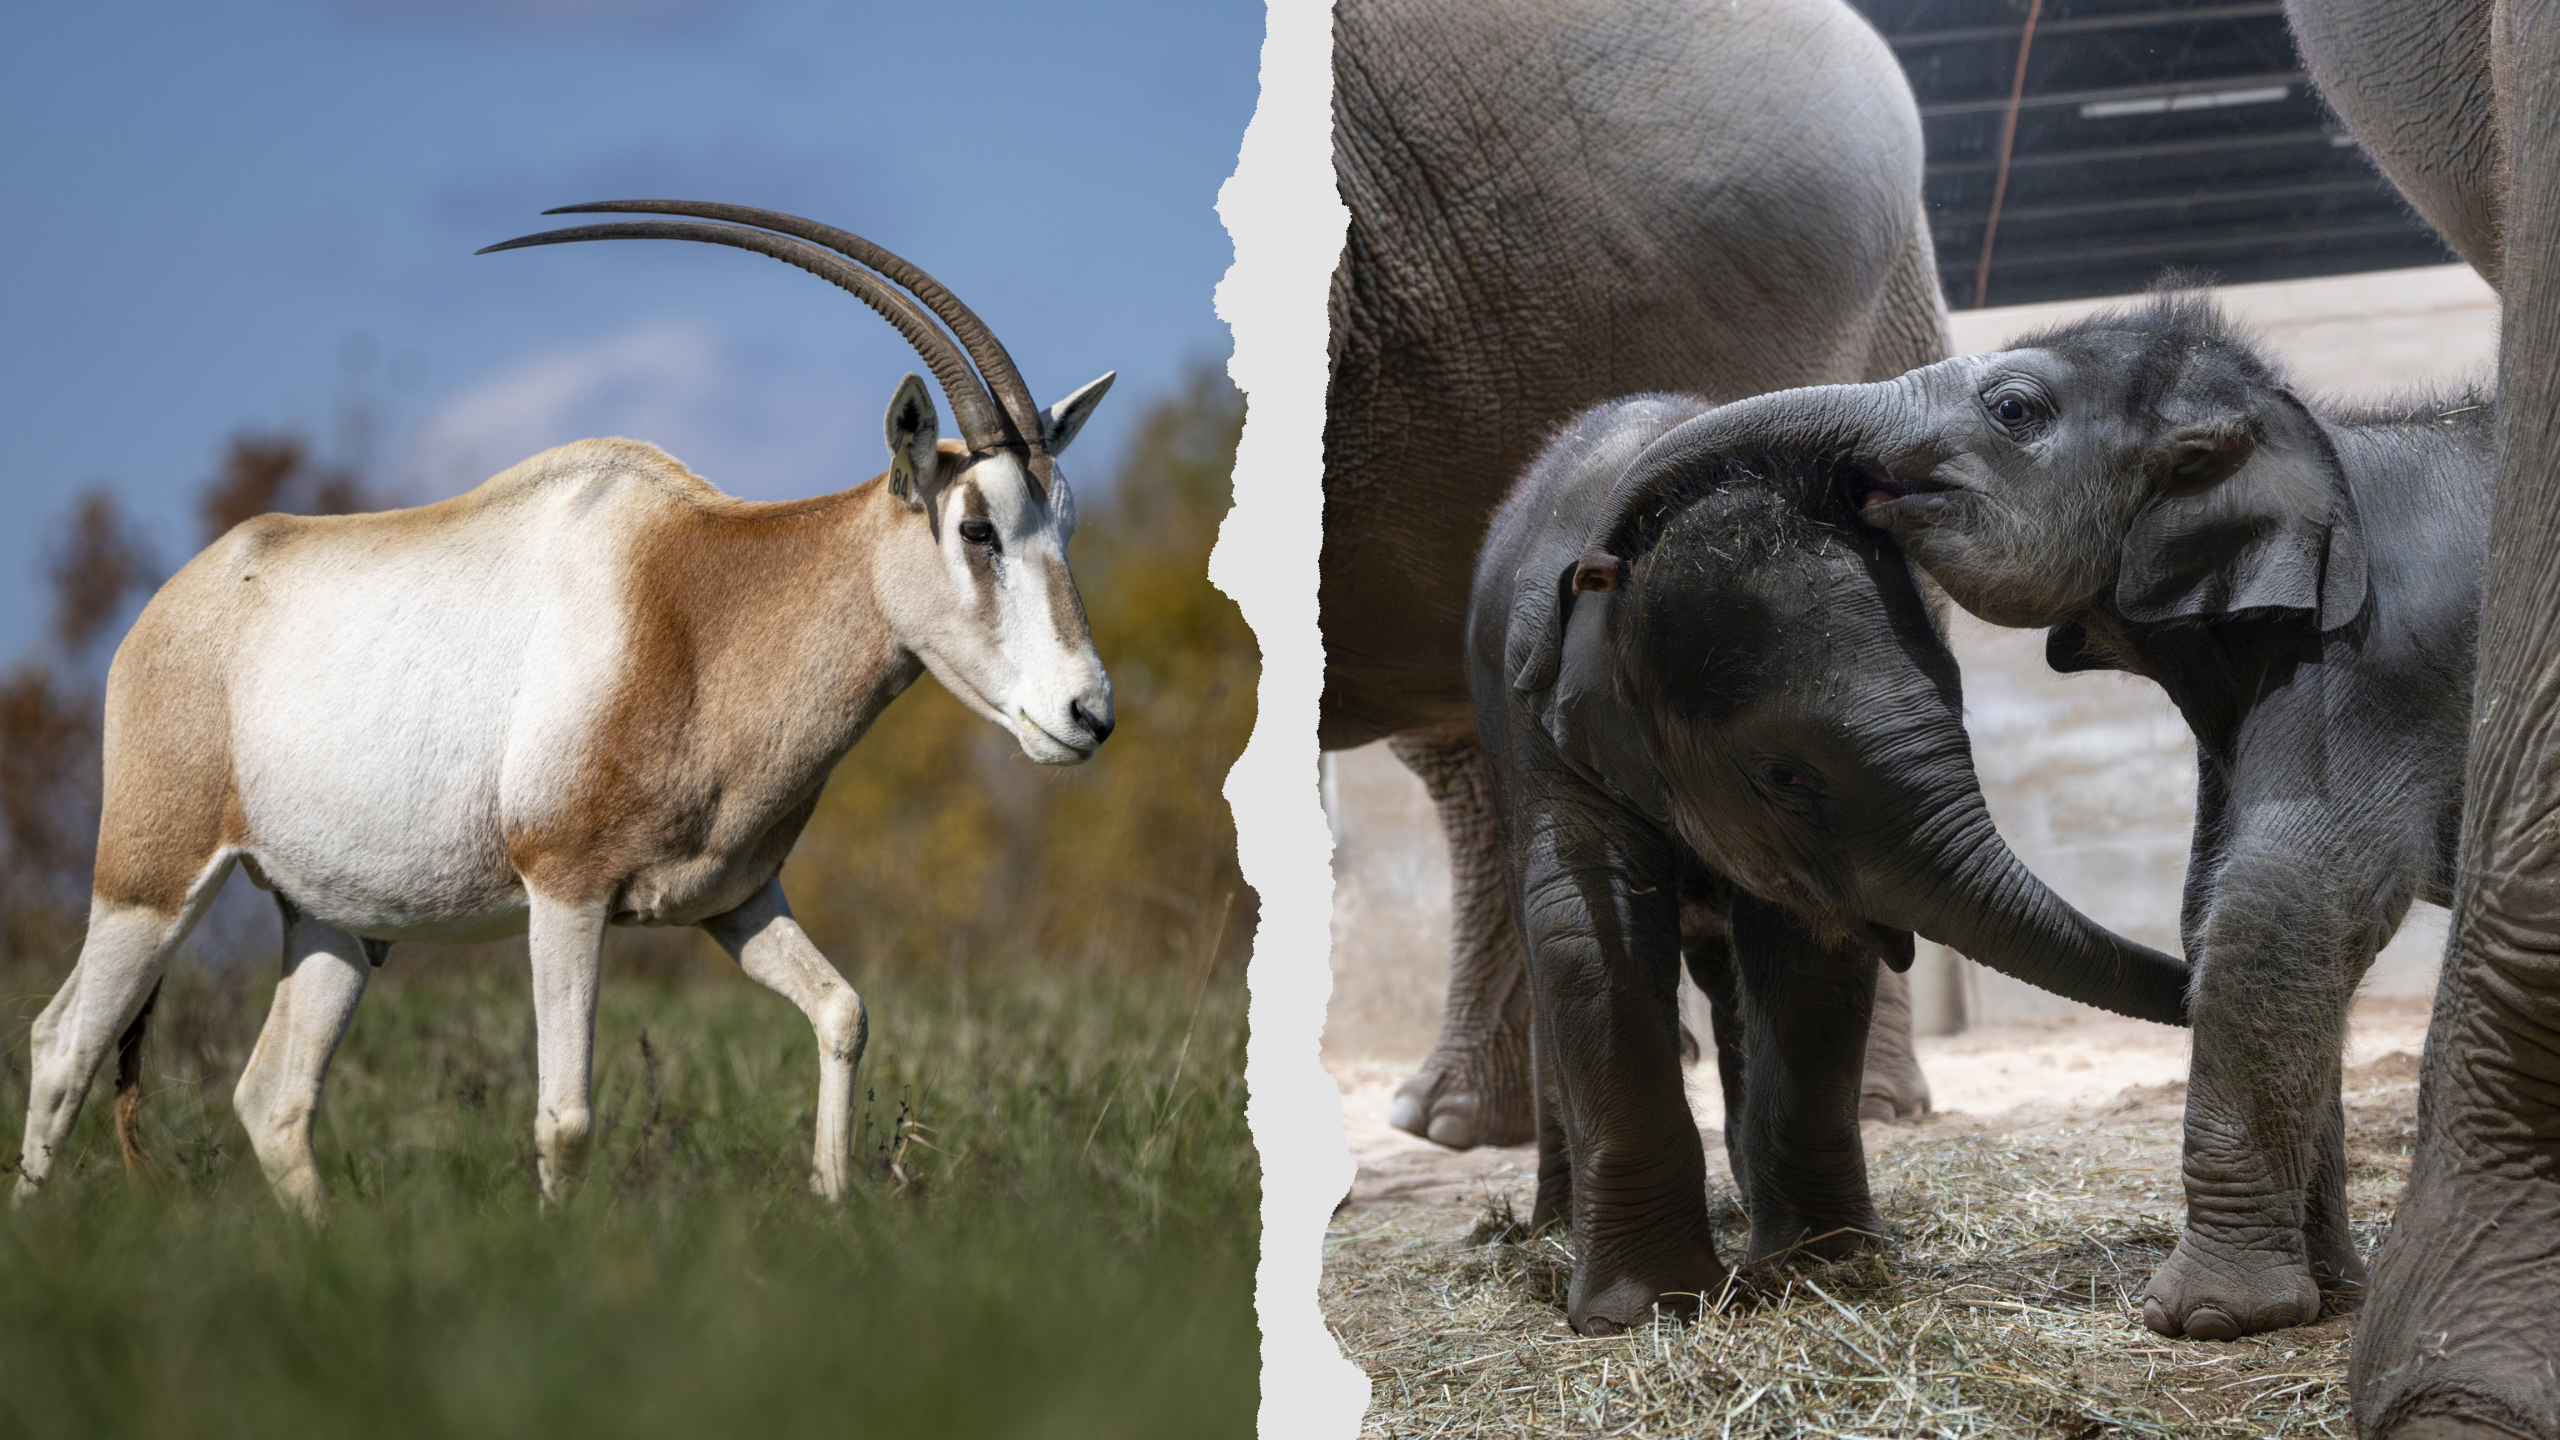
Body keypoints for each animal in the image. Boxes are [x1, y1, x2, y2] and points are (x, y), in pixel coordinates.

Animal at [1470, 393, 2194, 1335]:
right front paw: (1648, 1314)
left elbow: (1808, 956)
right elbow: (1588, 936)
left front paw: (1821, 1271)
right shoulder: (1544, 733)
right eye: (1782, 775)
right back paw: (1553, 1226)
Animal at [1584, 292, 2495, 1343]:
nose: (1598, 562)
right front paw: (2329, 1294)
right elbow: (2212, 906)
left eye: (2013, 408)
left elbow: (2283, 900)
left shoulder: (2374, 662)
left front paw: (2207, 1317)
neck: (2303, 431)